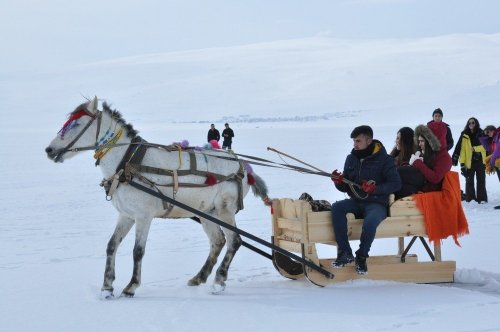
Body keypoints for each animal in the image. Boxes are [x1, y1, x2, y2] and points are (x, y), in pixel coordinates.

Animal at [45, 97, 272, 296]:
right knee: (218, 241)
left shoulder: (143, 216)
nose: (49, 149)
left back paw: (219, 280)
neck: (126, 164)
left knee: (235, 241)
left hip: (225, 210)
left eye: (76, 123)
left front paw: (131, 286)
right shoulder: (126, 215)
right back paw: (199, 277)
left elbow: (138, 251)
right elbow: (111, 246)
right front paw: (107, 287)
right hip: (207, 212)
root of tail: (244, 166)